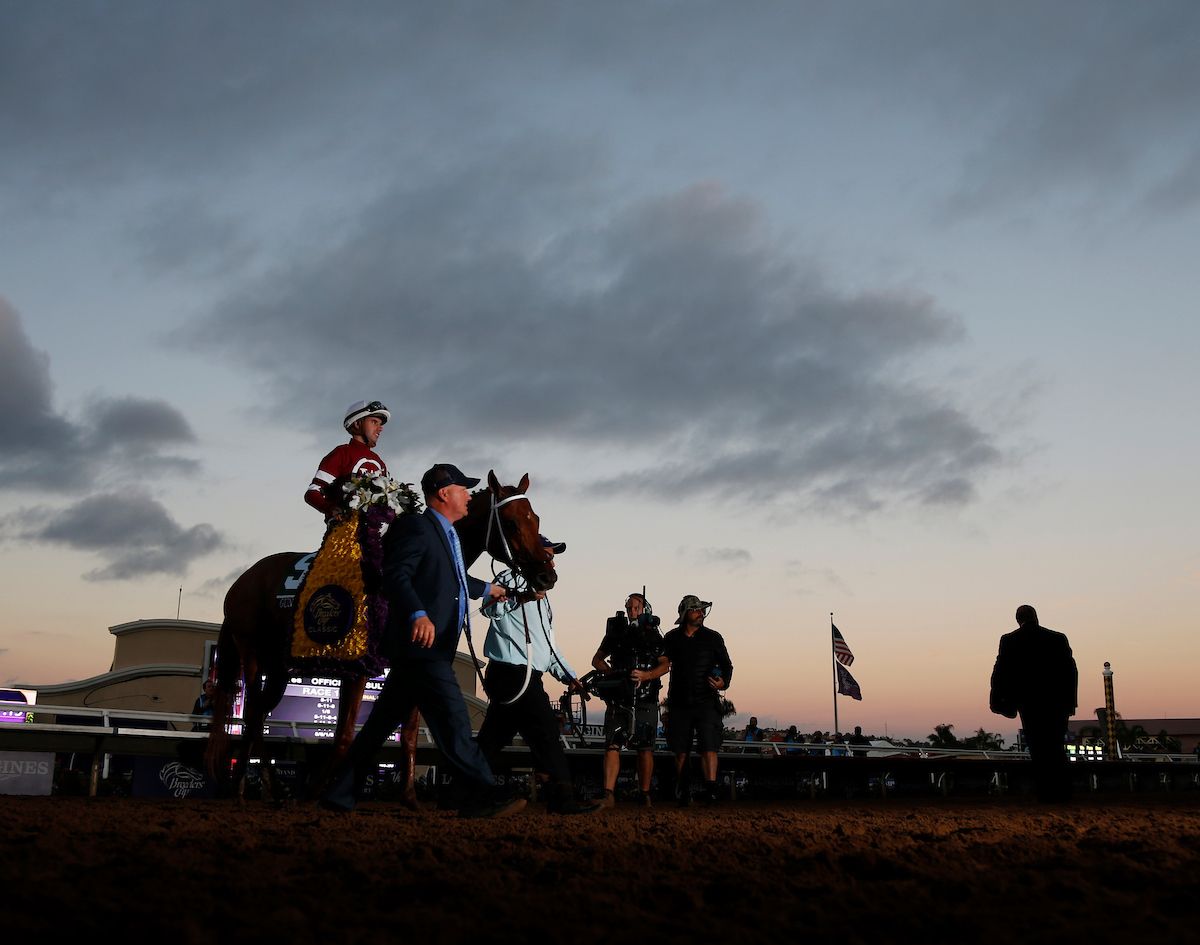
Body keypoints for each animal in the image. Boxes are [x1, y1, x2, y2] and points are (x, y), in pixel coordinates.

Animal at [204, 471, 556, 802]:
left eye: (536, 518)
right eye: (510, 523)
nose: (546, 576)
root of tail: (241, 582)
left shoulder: (411, 663)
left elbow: (408, 731)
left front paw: (409, 796)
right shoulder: (357, 665)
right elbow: (346, 734)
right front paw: (317, 790)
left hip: (278, 667)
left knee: (259, 715)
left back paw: (264, 787)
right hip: (251, 652)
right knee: (252, 714)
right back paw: (246, 789)